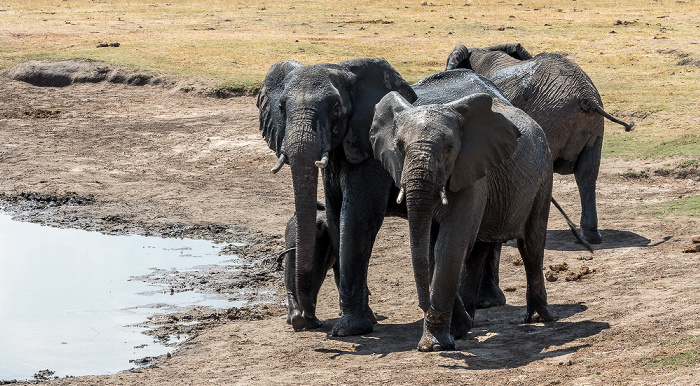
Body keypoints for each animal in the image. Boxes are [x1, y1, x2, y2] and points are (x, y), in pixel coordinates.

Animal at [258, 56, 416, 334]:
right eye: (281, 107)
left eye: (335, 108)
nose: (309, 320)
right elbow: (335, 216)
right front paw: (362, 320)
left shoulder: (369, 148)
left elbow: (356, 218)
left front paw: (350, 329)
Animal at [370, 68, 556, 352]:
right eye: (399, 147)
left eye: (449, 148)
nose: (425, 306)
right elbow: (432, 249)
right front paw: (456, 331)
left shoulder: (472, 171)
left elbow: (449, 245)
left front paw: (434, 345)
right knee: (479, 247)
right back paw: (471, 322)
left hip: (543, 172)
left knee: (531, 243)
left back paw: (538, 318)